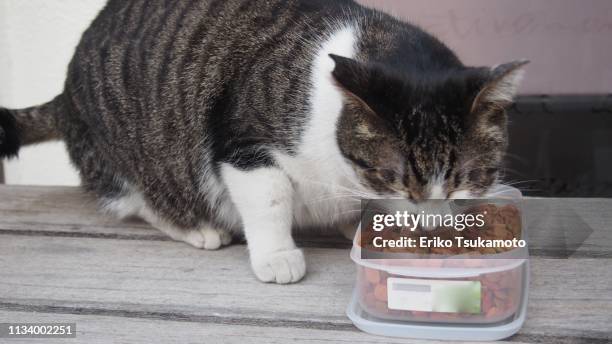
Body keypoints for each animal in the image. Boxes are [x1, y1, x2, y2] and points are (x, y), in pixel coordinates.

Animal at [0, 0, 524, 284]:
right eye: (393, 178)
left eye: (466, 180)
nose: (429, 223)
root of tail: (65, 94)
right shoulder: (242, 139)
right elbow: (269, 198)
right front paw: (277, 256)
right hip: (133, 156)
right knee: (138, 198)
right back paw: (197, 227)